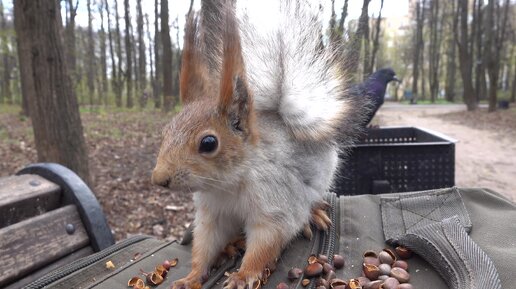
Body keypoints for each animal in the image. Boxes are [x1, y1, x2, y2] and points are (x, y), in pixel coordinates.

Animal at [151, 0, 368, 288]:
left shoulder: (274, 201)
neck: (228, 185)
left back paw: (312, 214)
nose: (159, 179)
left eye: (208, 143)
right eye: (166, 131)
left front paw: (243, 275)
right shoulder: (212, 214)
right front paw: (192, 276)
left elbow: (268, 238)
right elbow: (205, 244)